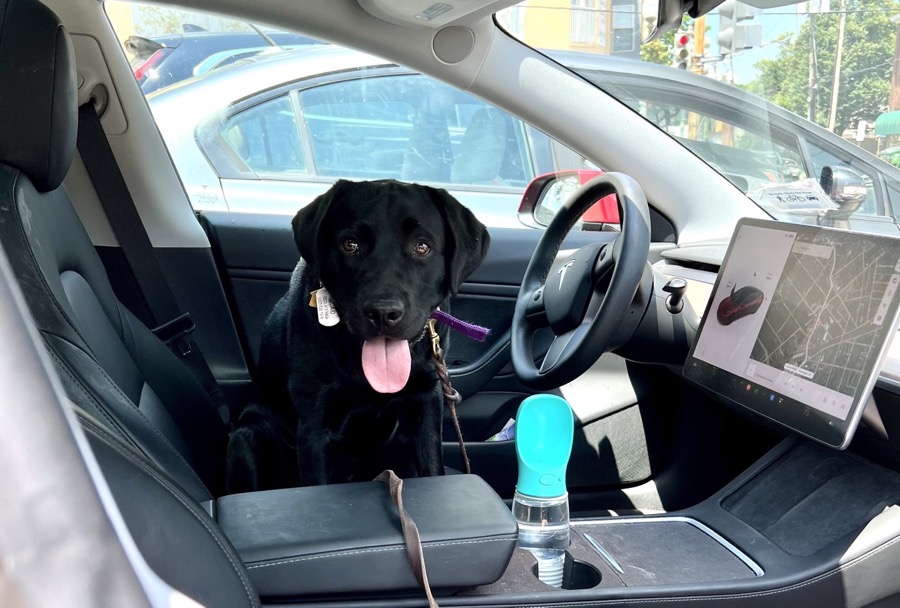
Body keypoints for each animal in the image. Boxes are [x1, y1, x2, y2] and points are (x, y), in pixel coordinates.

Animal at [229, 178, 488, 492]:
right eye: (350, 245)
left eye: (422, 246)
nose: (383, 312)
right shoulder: (314, 426)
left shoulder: (426, 398)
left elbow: (432, 465)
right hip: (248, 436)